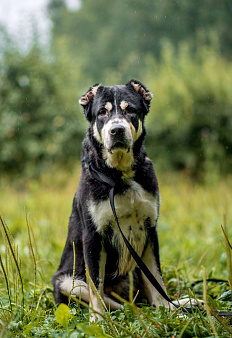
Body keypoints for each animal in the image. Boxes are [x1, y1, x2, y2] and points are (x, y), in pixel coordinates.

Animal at [51, 79, 173, 320]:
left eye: (131, 110)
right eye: (102, 113)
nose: (117, 130)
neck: (119, 176)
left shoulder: (150, 230)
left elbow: (157, 278)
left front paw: (167, 310)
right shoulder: (93, 237)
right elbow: (95, 285)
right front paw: (97, 320)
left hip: (135, 267)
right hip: (66, 282)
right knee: (115, 303)